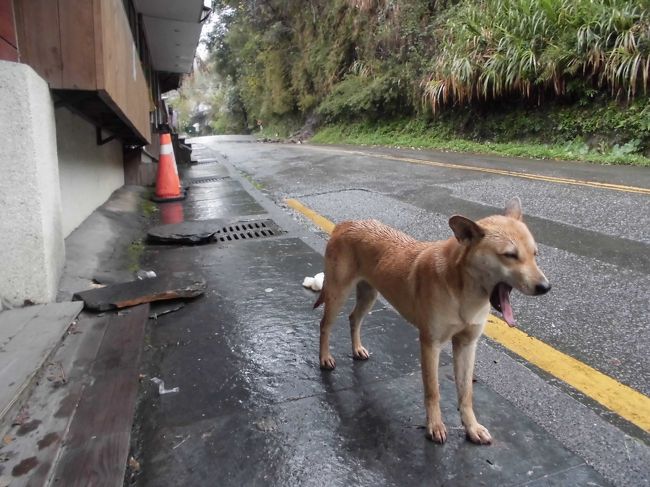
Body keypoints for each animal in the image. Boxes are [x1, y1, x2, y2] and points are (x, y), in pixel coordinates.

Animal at [314, 198, 548, 446]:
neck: (464, 290)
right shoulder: (430, 344)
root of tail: (346, 223)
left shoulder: (467, 345)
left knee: (354, 318)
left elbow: (466, 393)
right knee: (325, 325)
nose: (546, 287)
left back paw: (357, 348)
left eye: (535, 254)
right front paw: (435, 426)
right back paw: (325, 358)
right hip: (338, 293)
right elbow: (433, 390)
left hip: (369, 294)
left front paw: (471, 427)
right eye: (510, 255)